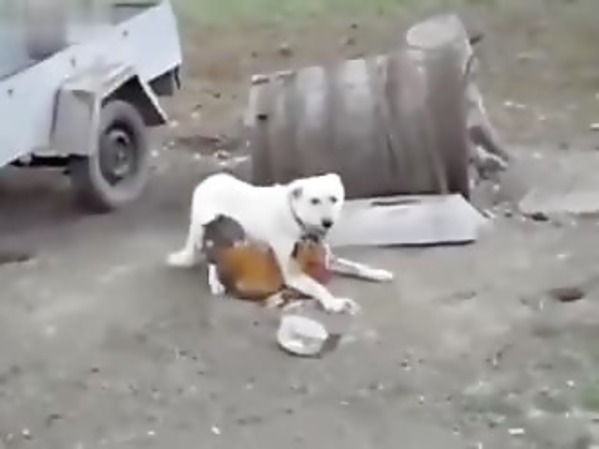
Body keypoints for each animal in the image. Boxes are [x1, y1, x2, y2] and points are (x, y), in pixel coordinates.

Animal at [167, 172, 392, 314]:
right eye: (314, 201)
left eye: (334, 199)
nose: (328, 222)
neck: (297, 218)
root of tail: (204, 183)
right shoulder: (292, 273)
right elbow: (318, 286)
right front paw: (333, 302)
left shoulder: (329, 260)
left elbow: (357, 266)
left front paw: (377, 272)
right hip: (221, 232)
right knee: (212, 259)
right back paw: (215, 282)